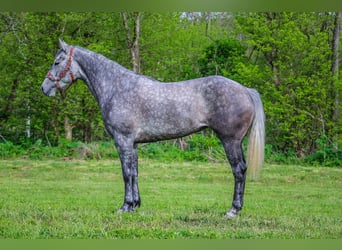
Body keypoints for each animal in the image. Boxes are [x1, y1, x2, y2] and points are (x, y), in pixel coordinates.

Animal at [40, 39, 264, 217]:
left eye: (57, 61)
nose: (44, 88)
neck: (117, 87)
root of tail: (246, 90)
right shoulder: (133, 144)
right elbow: (135, 173)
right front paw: (135, 205)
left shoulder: (122, 141)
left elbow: (126, 174)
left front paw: (125, 206)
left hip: (230, 141)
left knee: (239, 170)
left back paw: (233, 210)